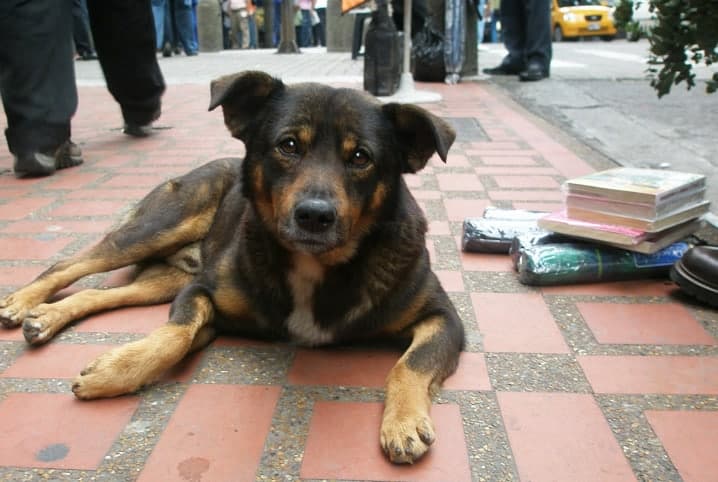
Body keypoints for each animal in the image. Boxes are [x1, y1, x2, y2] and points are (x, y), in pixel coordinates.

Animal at [0, 70, 466, 464]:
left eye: (361, 157)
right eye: (288, 145)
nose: (314, 216)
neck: (317, 265)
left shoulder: (444, 318)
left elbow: (412, 362)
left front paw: (403, 422)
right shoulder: (201, 292)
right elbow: (175, 334)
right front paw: (115, 372)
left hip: (167, 279)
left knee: (105, 292)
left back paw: (45, 317)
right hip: (159, 227)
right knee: (69, 263)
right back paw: (22, 301)